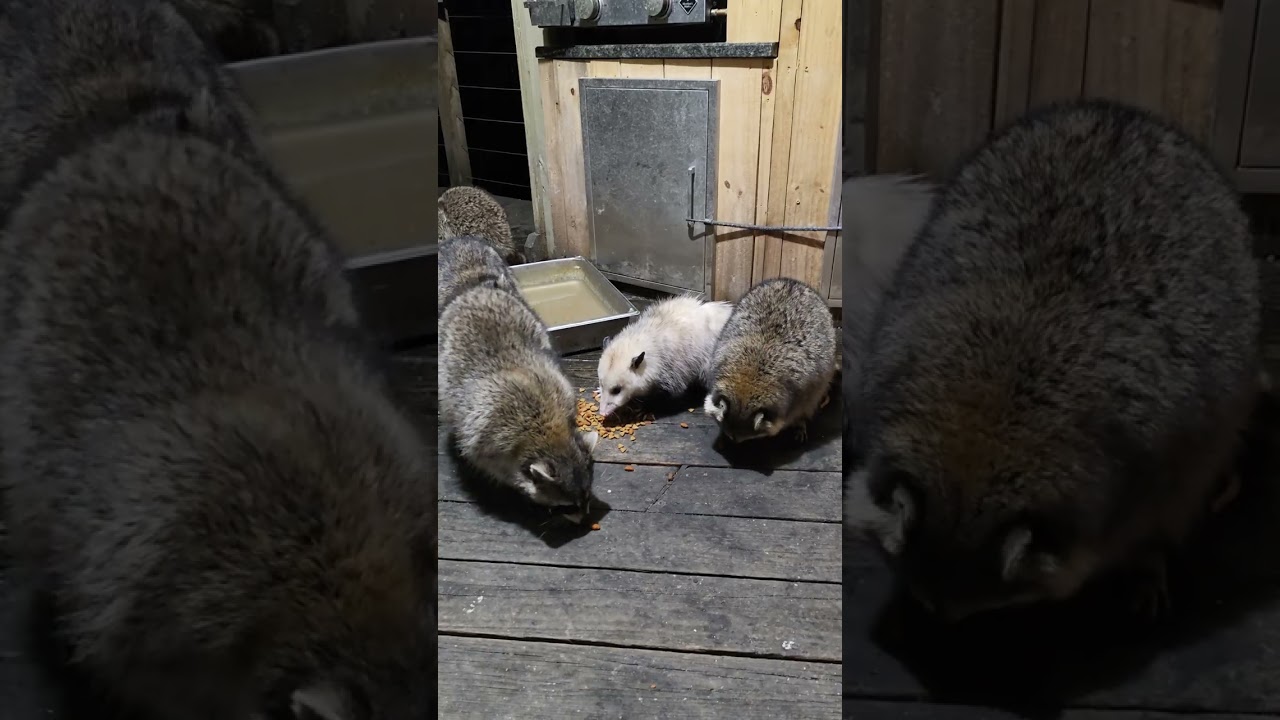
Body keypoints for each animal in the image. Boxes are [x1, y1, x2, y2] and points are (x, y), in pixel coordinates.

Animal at [439, 284, 599, 517]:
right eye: (568, 507)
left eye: (587, 495)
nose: (585, 517)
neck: (549, 434)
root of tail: (477, 289)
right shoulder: (487, 445)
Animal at [596, 296, 733, 418]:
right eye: (602, 384)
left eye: (617, 390)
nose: (602, 413)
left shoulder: (675, 371)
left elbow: (668, 393)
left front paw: (645, 408)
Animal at [704, 278, 837, 443]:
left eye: (741, 439)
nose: (731, 440)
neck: (749, 377)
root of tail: (791, 282)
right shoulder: (720, 357)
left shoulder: (805, 388)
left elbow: (804, 406)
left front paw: (800, 421)